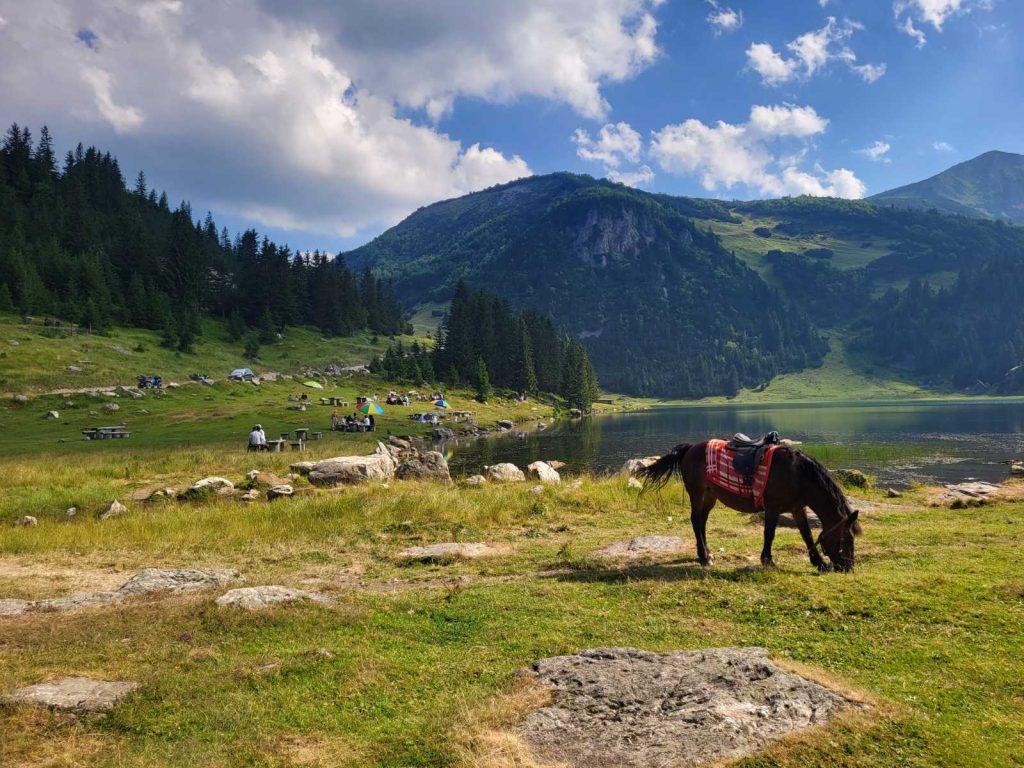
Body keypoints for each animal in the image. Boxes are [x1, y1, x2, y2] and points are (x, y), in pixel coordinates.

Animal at [638, 444, 864, 573]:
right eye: (847, 539)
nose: (848, 568)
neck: (798, 475)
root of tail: (689, 448)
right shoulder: (772, 508)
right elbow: (769, 534)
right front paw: (768, 561)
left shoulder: (797, 509)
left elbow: (807, 535)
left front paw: (819, 563)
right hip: (697, 493)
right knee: (695, 520)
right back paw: (704, 557)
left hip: (710, 496)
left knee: (701, 521)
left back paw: (706, 554)